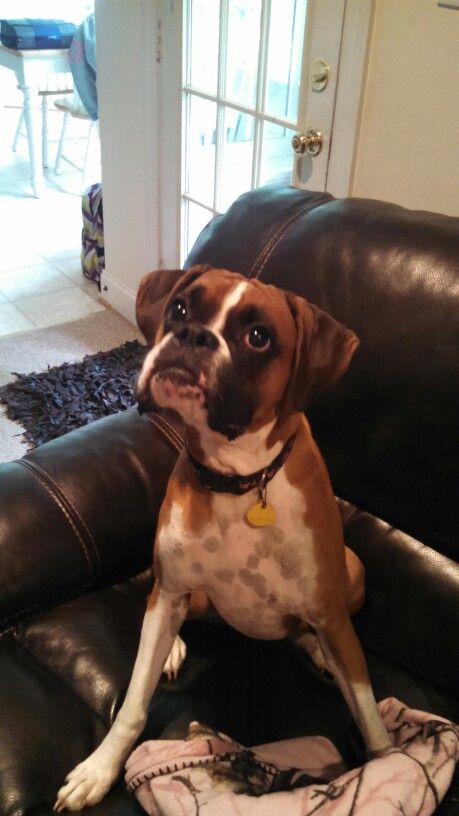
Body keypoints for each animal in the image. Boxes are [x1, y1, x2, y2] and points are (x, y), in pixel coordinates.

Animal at [54, 266, 392, 808]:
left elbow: (369, 715)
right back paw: (172, 647)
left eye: (258, 337)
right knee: (164, 611)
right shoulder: (171, 587)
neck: (241, 480)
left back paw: (317, 649)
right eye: (180, 309)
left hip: (353, 572)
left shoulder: (331, 613)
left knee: (309, 631)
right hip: (178, 596)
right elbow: (132, 704)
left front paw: (390, 765)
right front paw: (100, 768)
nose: (192, 336)